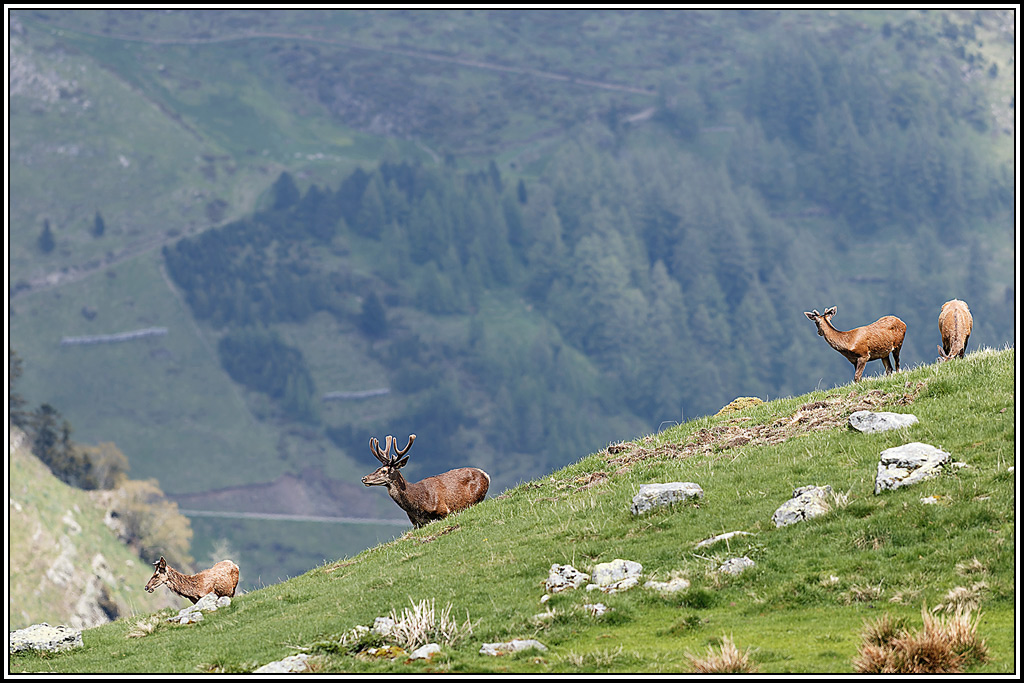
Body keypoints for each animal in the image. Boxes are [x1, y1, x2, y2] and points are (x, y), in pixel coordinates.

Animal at [361, 434, 490, 528]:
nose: (364, 478)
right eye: (377, 468)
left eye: (384, 471)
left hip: (476, 497)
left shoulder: (444, 510)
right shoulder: (416, 523)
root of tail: (485, 474)